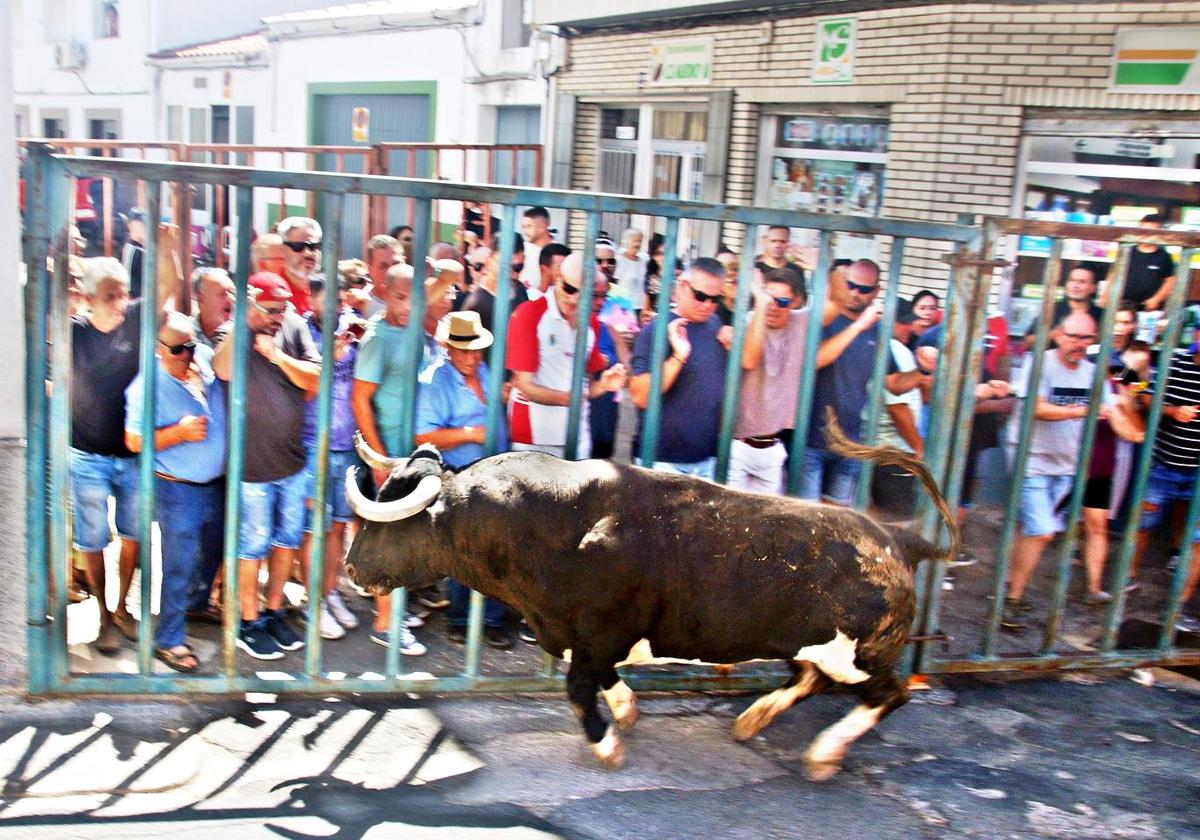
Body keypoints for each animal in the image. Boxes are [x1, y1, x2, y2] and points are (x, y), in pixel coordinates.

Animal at [340, 420, 955, 782]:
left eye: (392, 521)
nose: (349, 568)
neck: (549, 520)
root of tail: (898, 539)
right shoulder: (581, 636)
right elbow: (601, 678)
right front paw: (628, 714)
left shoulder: (598, 631)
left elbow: (579, 686)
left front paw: (608, 745)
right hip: (820, 647)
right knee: (809, 679)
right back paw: (752, 720)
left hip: (857, 654)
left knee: (889, 694)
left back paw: (822, 754)